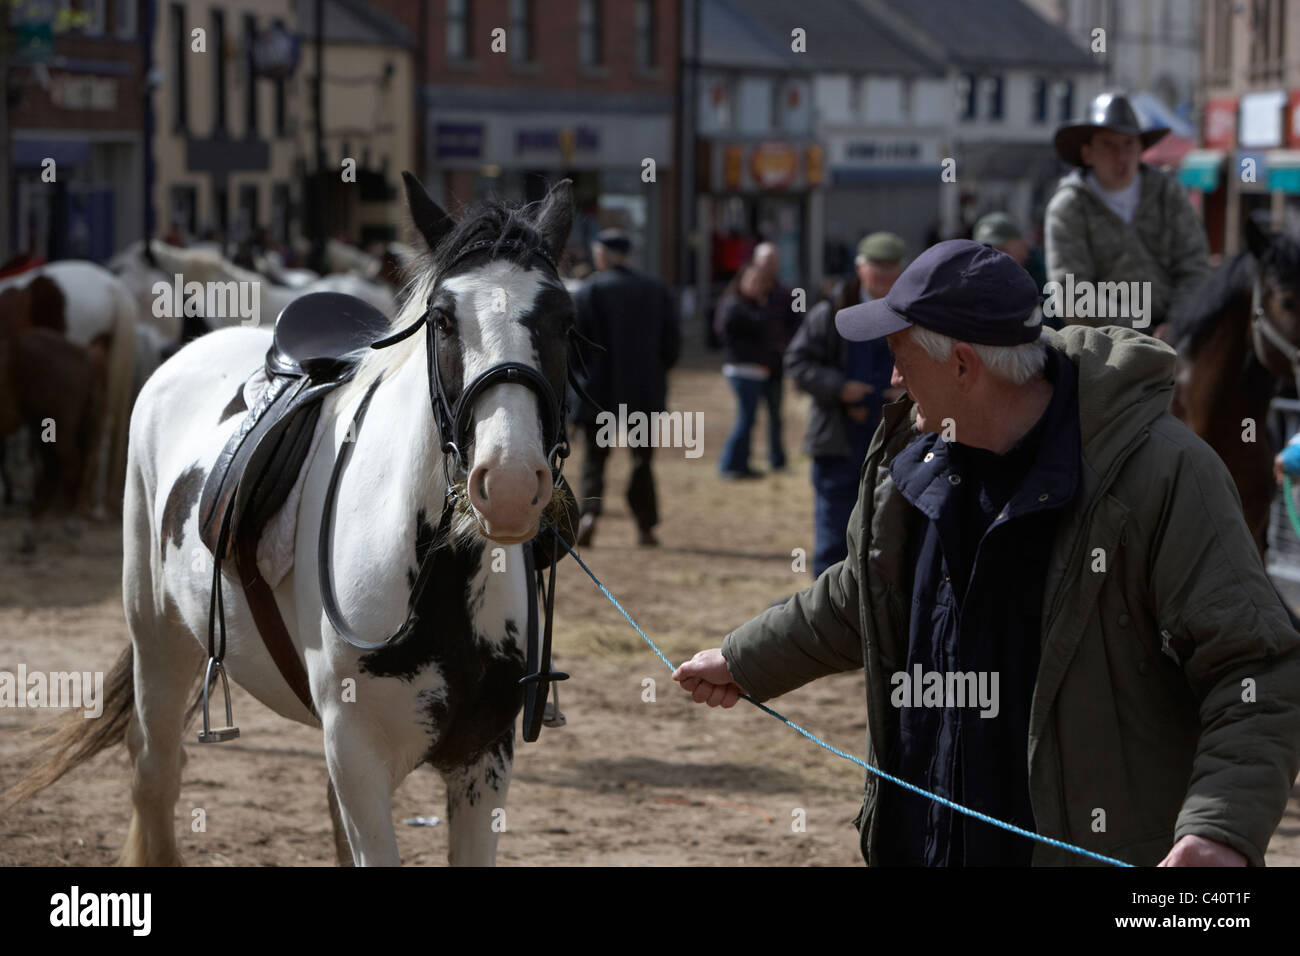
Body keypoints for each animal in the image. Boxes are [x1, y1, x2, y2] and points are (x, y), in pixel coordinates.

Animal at [10, 178, 579, 868]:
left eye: (564, 320)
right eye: (443, 318)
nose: (512, 485)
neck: (434, 579)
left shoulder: (483, 759)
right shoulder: (357, 755)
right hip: (158, 637)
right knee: (155, 773)